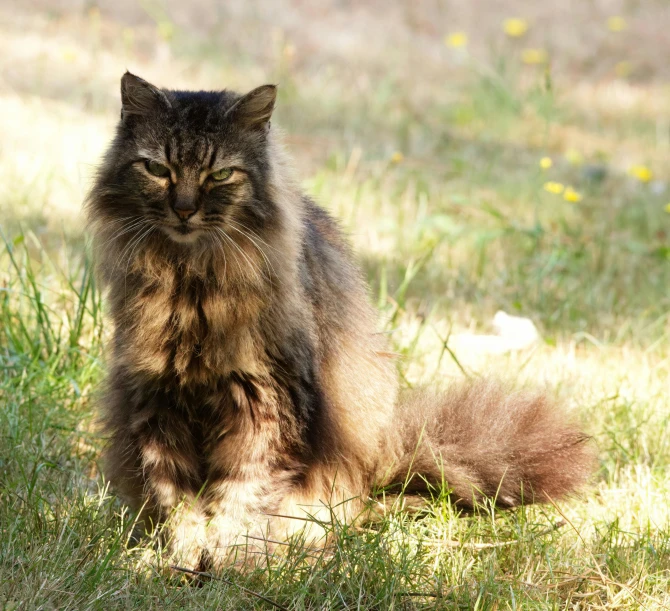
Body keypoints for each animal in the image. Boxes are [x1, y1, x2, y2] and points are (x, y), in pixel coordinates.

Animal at [86, 71, 596, 572]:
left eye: (220, 175)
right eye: (158, 170)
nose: (185, 208)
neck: (189, 282)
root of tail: (378, 477)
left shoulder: (266, 402)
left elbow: (242, 497)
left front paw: (230, 559)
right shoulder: (155, 398)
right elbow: (177, 500)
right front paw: (183, 557)